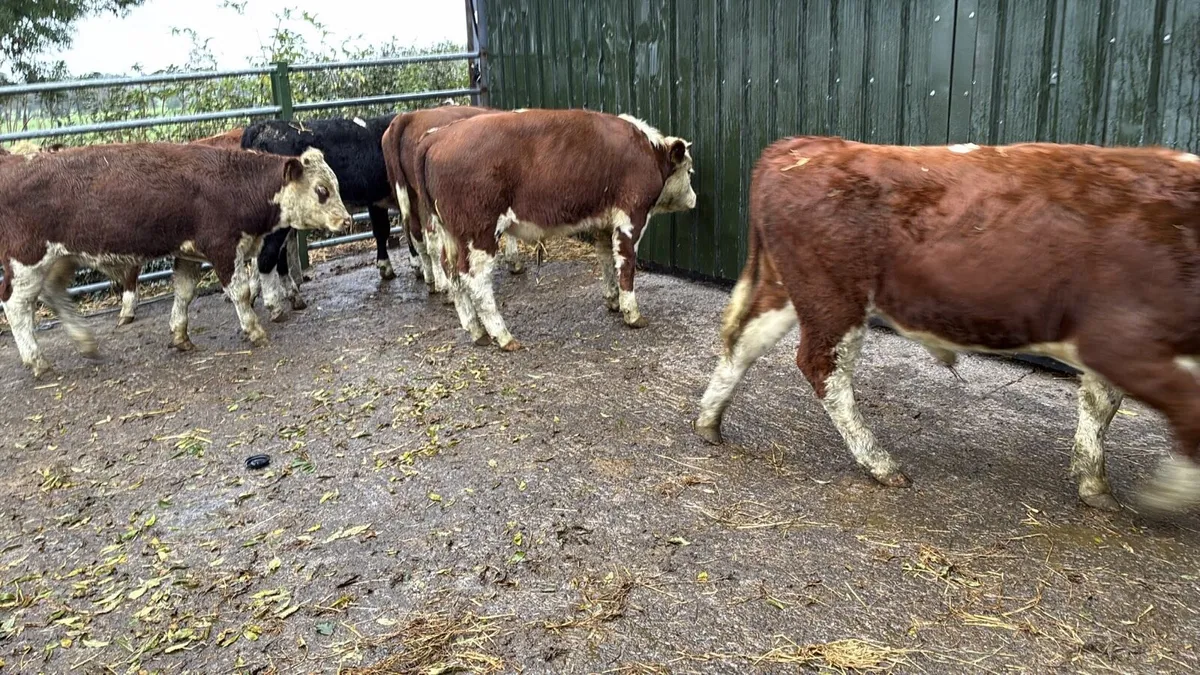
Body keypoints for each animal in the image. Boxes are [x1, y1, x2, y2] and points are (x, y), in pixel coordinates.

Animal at [0, 143, 351, 379]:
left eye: (335, 185)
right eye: (321, 190)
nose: (346, 221)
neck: (233, 183)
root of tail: (16, 161)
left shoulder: (188, 254)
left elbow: (184, 293)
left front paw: (180, 335)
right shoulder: (222, 248)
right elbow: (240, 293)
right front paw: (254, 329)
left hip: (60, 259)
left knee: (54, 294)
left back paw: (85, 343)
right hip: (26, 259)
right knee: (16, 305)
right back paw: (37, 360)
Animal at [381, 105, 523, 299]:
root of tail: (408, 116)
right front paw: (514, 260)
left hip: (410, 194)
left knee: (418, 236)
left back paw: (430, 280)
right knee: (432, 239)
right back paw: (444, 287)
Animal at [412, 109, 696, 350]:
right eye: (690, 171)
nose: (694, 199)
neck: (648, 151)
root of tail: (437, 135)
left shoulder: (604, 223)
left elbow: (606, 260)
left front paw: (613, 300)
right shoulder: (631, 218)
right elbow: (626, 266)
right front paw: (632, 314)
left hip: (451, 233)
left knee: (453, 273)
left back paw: (477, 331)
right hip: (480, 233)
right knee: (476, 280)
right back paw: (502, 336)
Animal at [693, 136, 1200, 516]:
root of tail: (804, 146)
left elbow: (1100, 405)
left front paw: (1094, 483)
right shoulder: (1119, 341)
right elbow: (1184, 409)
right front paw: (1166, 494)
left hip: (790, 288)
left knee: (742, 342)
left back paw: (709, 421)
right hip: (833, 296)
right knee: (823, 368)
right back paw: (879, 463)